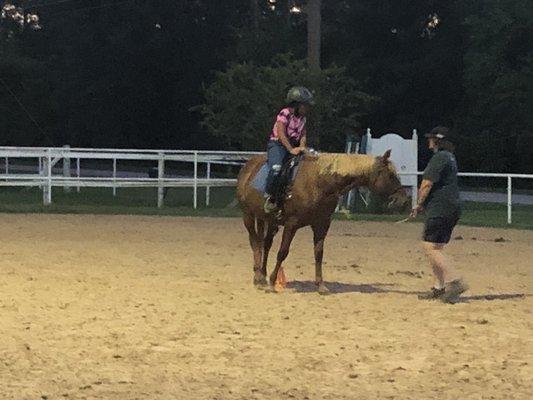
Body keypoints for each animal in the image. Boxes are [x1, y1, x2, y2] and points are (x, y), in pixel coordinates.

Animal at [236, 150, 408, 294]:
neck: (320, 182)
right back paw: (258, 277)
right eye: (391, 175)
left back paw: (262, 276)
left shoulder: (322, 224)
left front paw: (320, 285)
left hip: (269, 221)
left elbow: (318, 254)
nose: (403, 199)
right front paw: (272, 282)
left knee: (265, 244)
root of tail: (248, 167)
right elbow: (282, 252)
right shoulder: (292, 224)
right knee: (255, 243)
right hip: (248, 216)